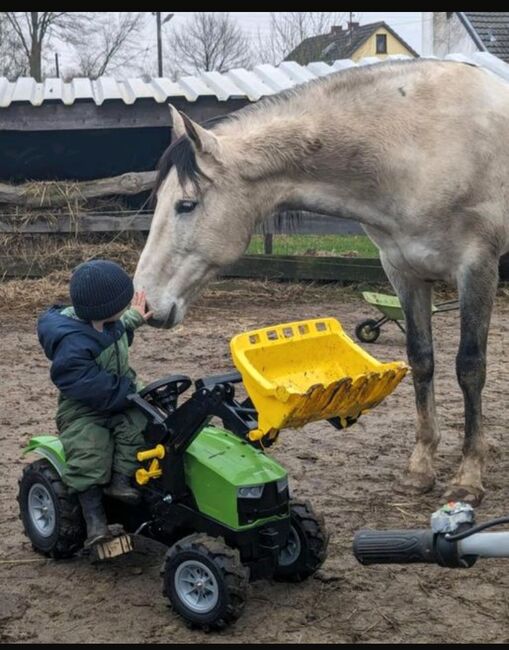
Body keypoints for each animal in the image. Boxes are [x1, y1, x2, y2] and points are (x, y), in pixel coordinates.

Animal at [134, 58, 508, 504]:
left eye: (186, 204)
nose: (144, 302)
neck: (419, 146)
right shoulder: (404, 272)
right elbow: (422, 361)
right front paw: (420, 469)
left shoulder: (476, 268)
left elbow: (470, 368)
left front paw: (469, 477)